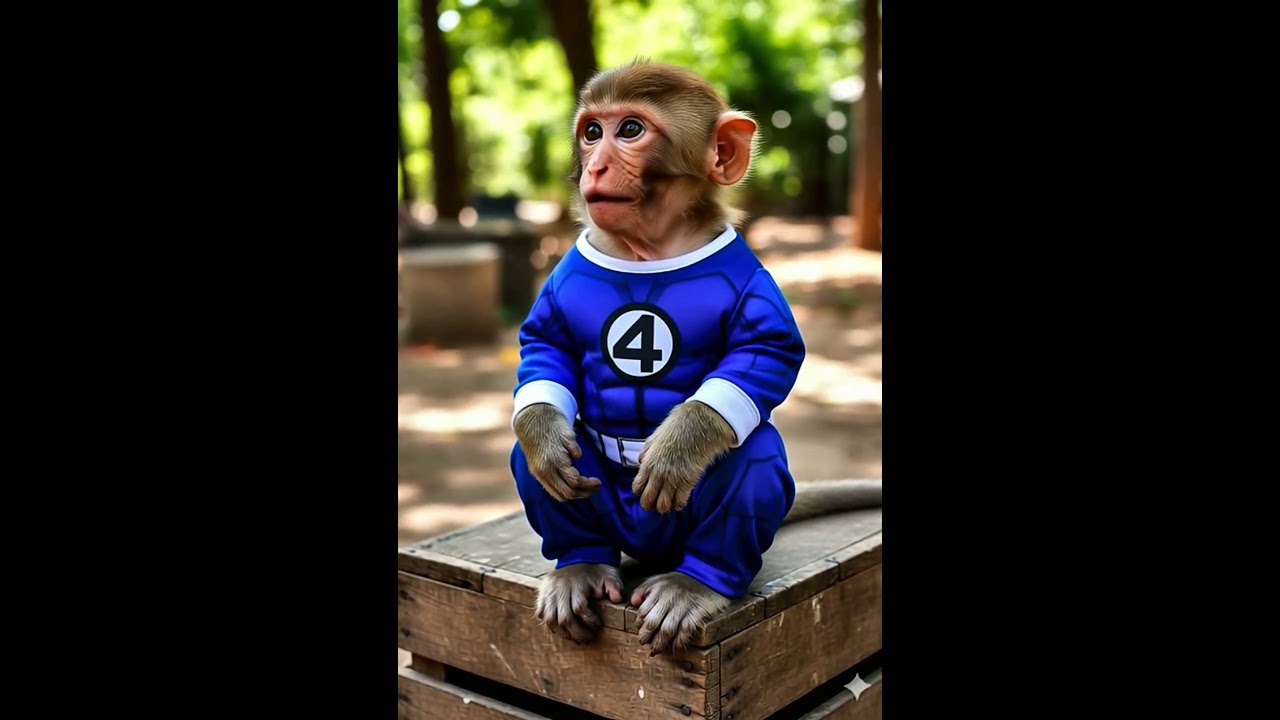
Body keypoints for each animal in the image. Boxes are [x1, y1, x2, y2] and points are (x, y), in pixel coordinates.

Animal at [508, 59, 883, 655]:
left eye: (629, 130)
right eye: (591, 132)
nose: (597, 165)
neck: (650, 250)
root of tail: (648, 549)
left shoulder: (750, 276)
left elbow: (766, 353)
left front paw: (679, 447)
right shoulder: (565, 271)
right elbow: (547, 344)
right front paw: (543, 431)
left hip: (681, 526)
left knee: (753, 452)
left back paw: (696, 583)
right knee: (544, 460)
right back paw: (579, 563)